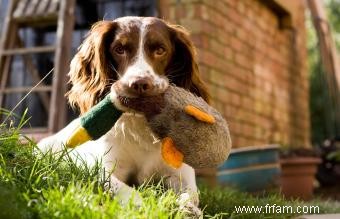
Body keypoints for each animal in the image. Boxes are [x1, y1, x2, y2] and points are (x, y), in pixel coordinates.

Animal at [38, 16, 210, 215]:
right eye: (119, 49)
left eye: (160, 50)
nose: (140, 84)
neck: (140, 128)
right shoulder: (102, 169)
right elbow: (125, 190)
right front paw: (143, 208)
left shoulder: (180, 173)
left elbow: (190, 194)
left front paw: (187, 209)